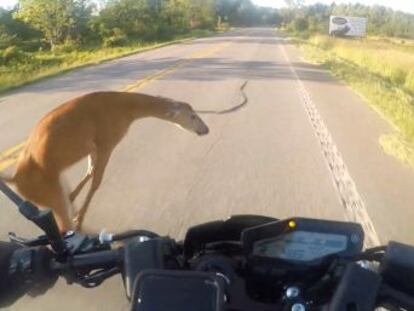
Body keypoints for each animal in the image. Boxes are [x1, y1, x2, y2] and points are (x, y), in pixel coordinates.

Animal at [0, 91, 209, 233]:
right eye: (193, 116)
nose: (206, 129)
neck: (127, 110)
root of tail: (15, 178)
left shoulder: (93, 147)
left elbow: (90, 172)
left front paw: (73, 201)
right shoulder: (107, 142)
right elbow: (96, 181)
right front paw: (79, 217)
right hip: (48, 192)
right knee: (62, 226)